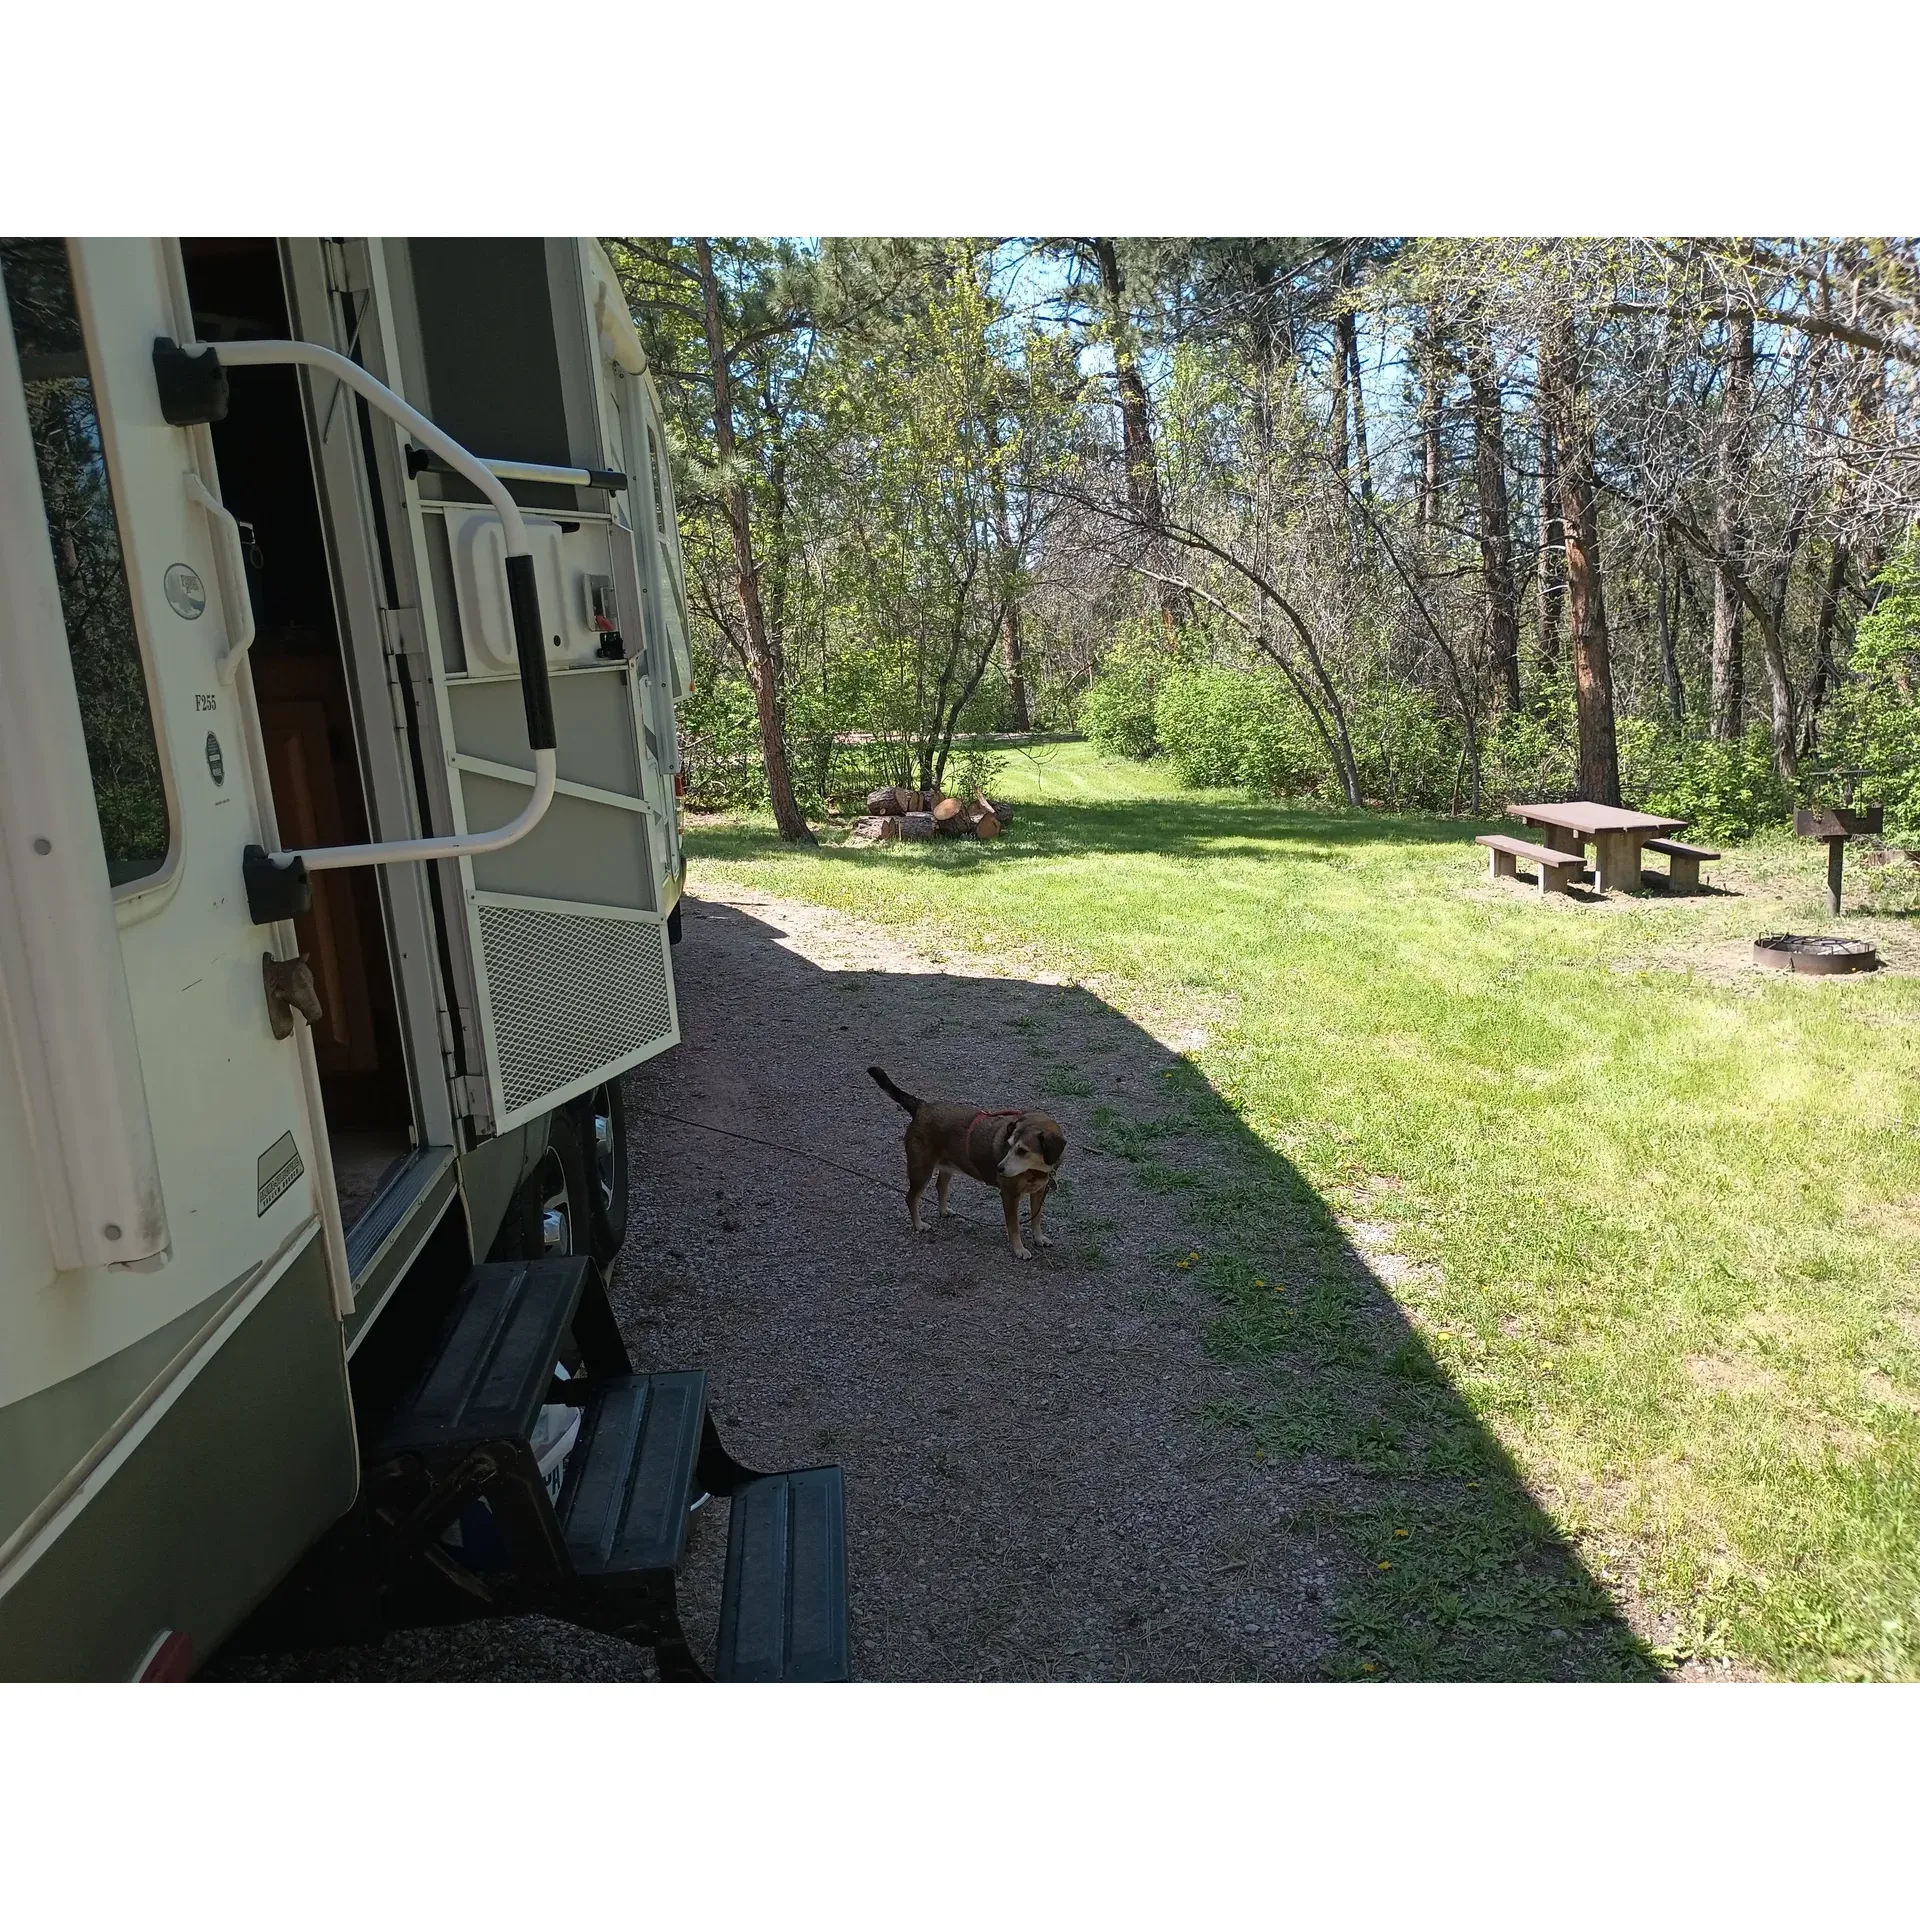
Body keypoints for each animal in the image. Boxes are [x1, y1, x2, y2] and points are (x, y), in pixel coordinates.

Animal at [871, 1067, 1067, 1259]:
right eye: (1009, 1145)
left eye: (1022, 1151)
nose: (999, 1168)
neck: (1035, 1169)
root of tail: (921, 1106)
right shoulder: (1010, 1196)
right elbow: (1014, 1227)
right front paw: (1019, 1249)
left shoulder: (1039, 1192)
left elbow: (1036, 1219)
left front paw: (1039, 1238)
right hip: (921, 1170)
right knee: (911, 1198)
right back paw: (919, 1225)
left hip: (945, 1166)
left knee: (940, 1186)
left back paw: (943, 1210)